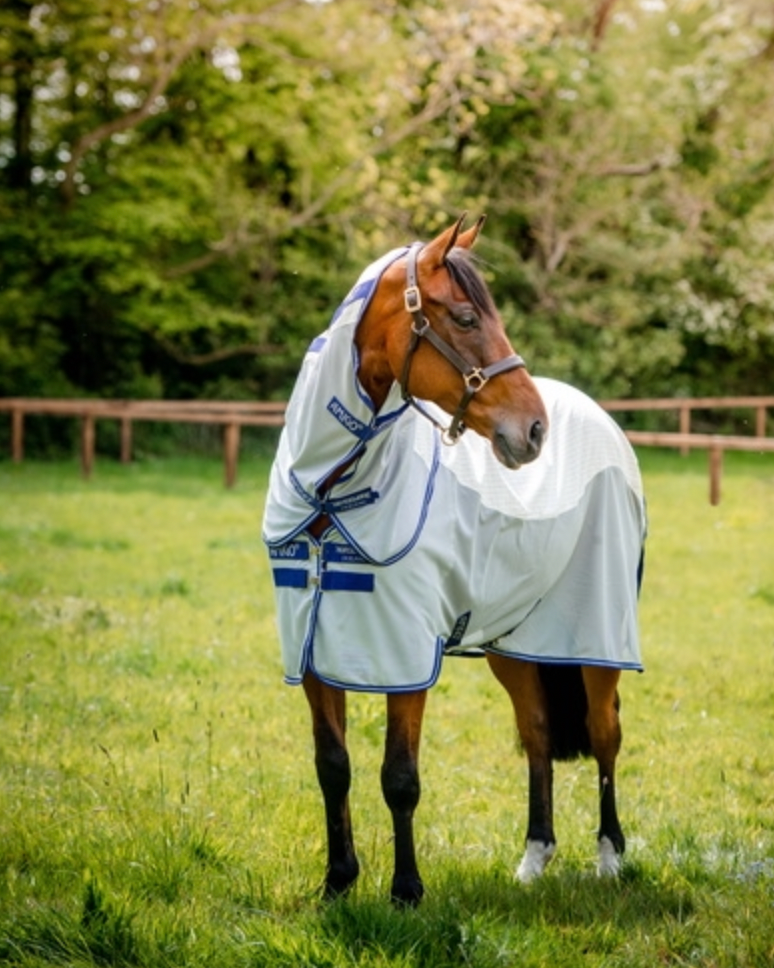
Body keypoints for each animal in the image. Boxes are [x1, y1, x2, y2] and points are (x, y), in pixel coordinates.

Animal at [262, 214, 646, 905]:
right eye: (466, 318)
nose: (534, 430)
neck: (330, 492)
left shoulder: (403, 655)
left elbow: (399, 776)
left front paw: (406, 892)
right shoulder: (313, 654)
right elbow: (333, 767)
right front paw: (338, 882)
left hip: (597, 642)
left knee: (605, 735)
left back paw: (609, 857)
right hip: (516, 646)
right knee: (537, 733)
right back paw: (533, 859)